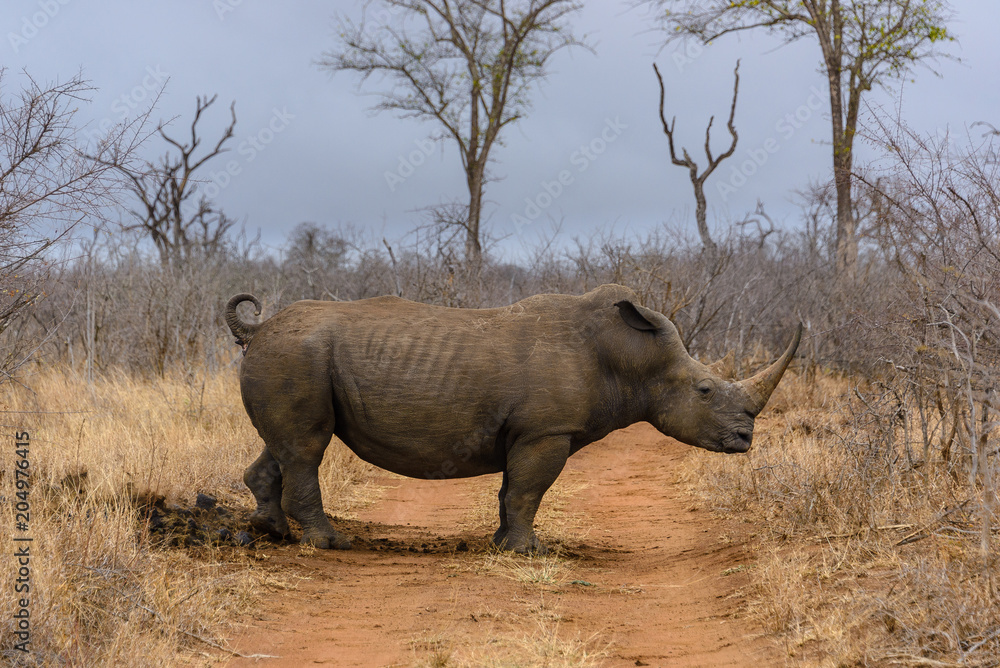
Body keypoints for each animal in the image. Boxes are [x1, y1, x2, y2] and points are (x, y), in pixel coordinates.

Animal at [226, 284, 800, 554]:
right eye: (705, 390)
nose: (745, 438)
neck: (630, 359)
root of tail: (258, 329)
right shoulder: (547, 429)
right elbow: (528, 489)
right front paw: (529, 551)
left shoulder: (528, 430)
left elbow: (511, 490)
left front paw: (503, 545)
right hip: (295, 355)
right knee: (307, 447)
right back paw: (328, 544)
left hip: (289, 356)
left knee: (287, 445)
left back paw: (271, 532)